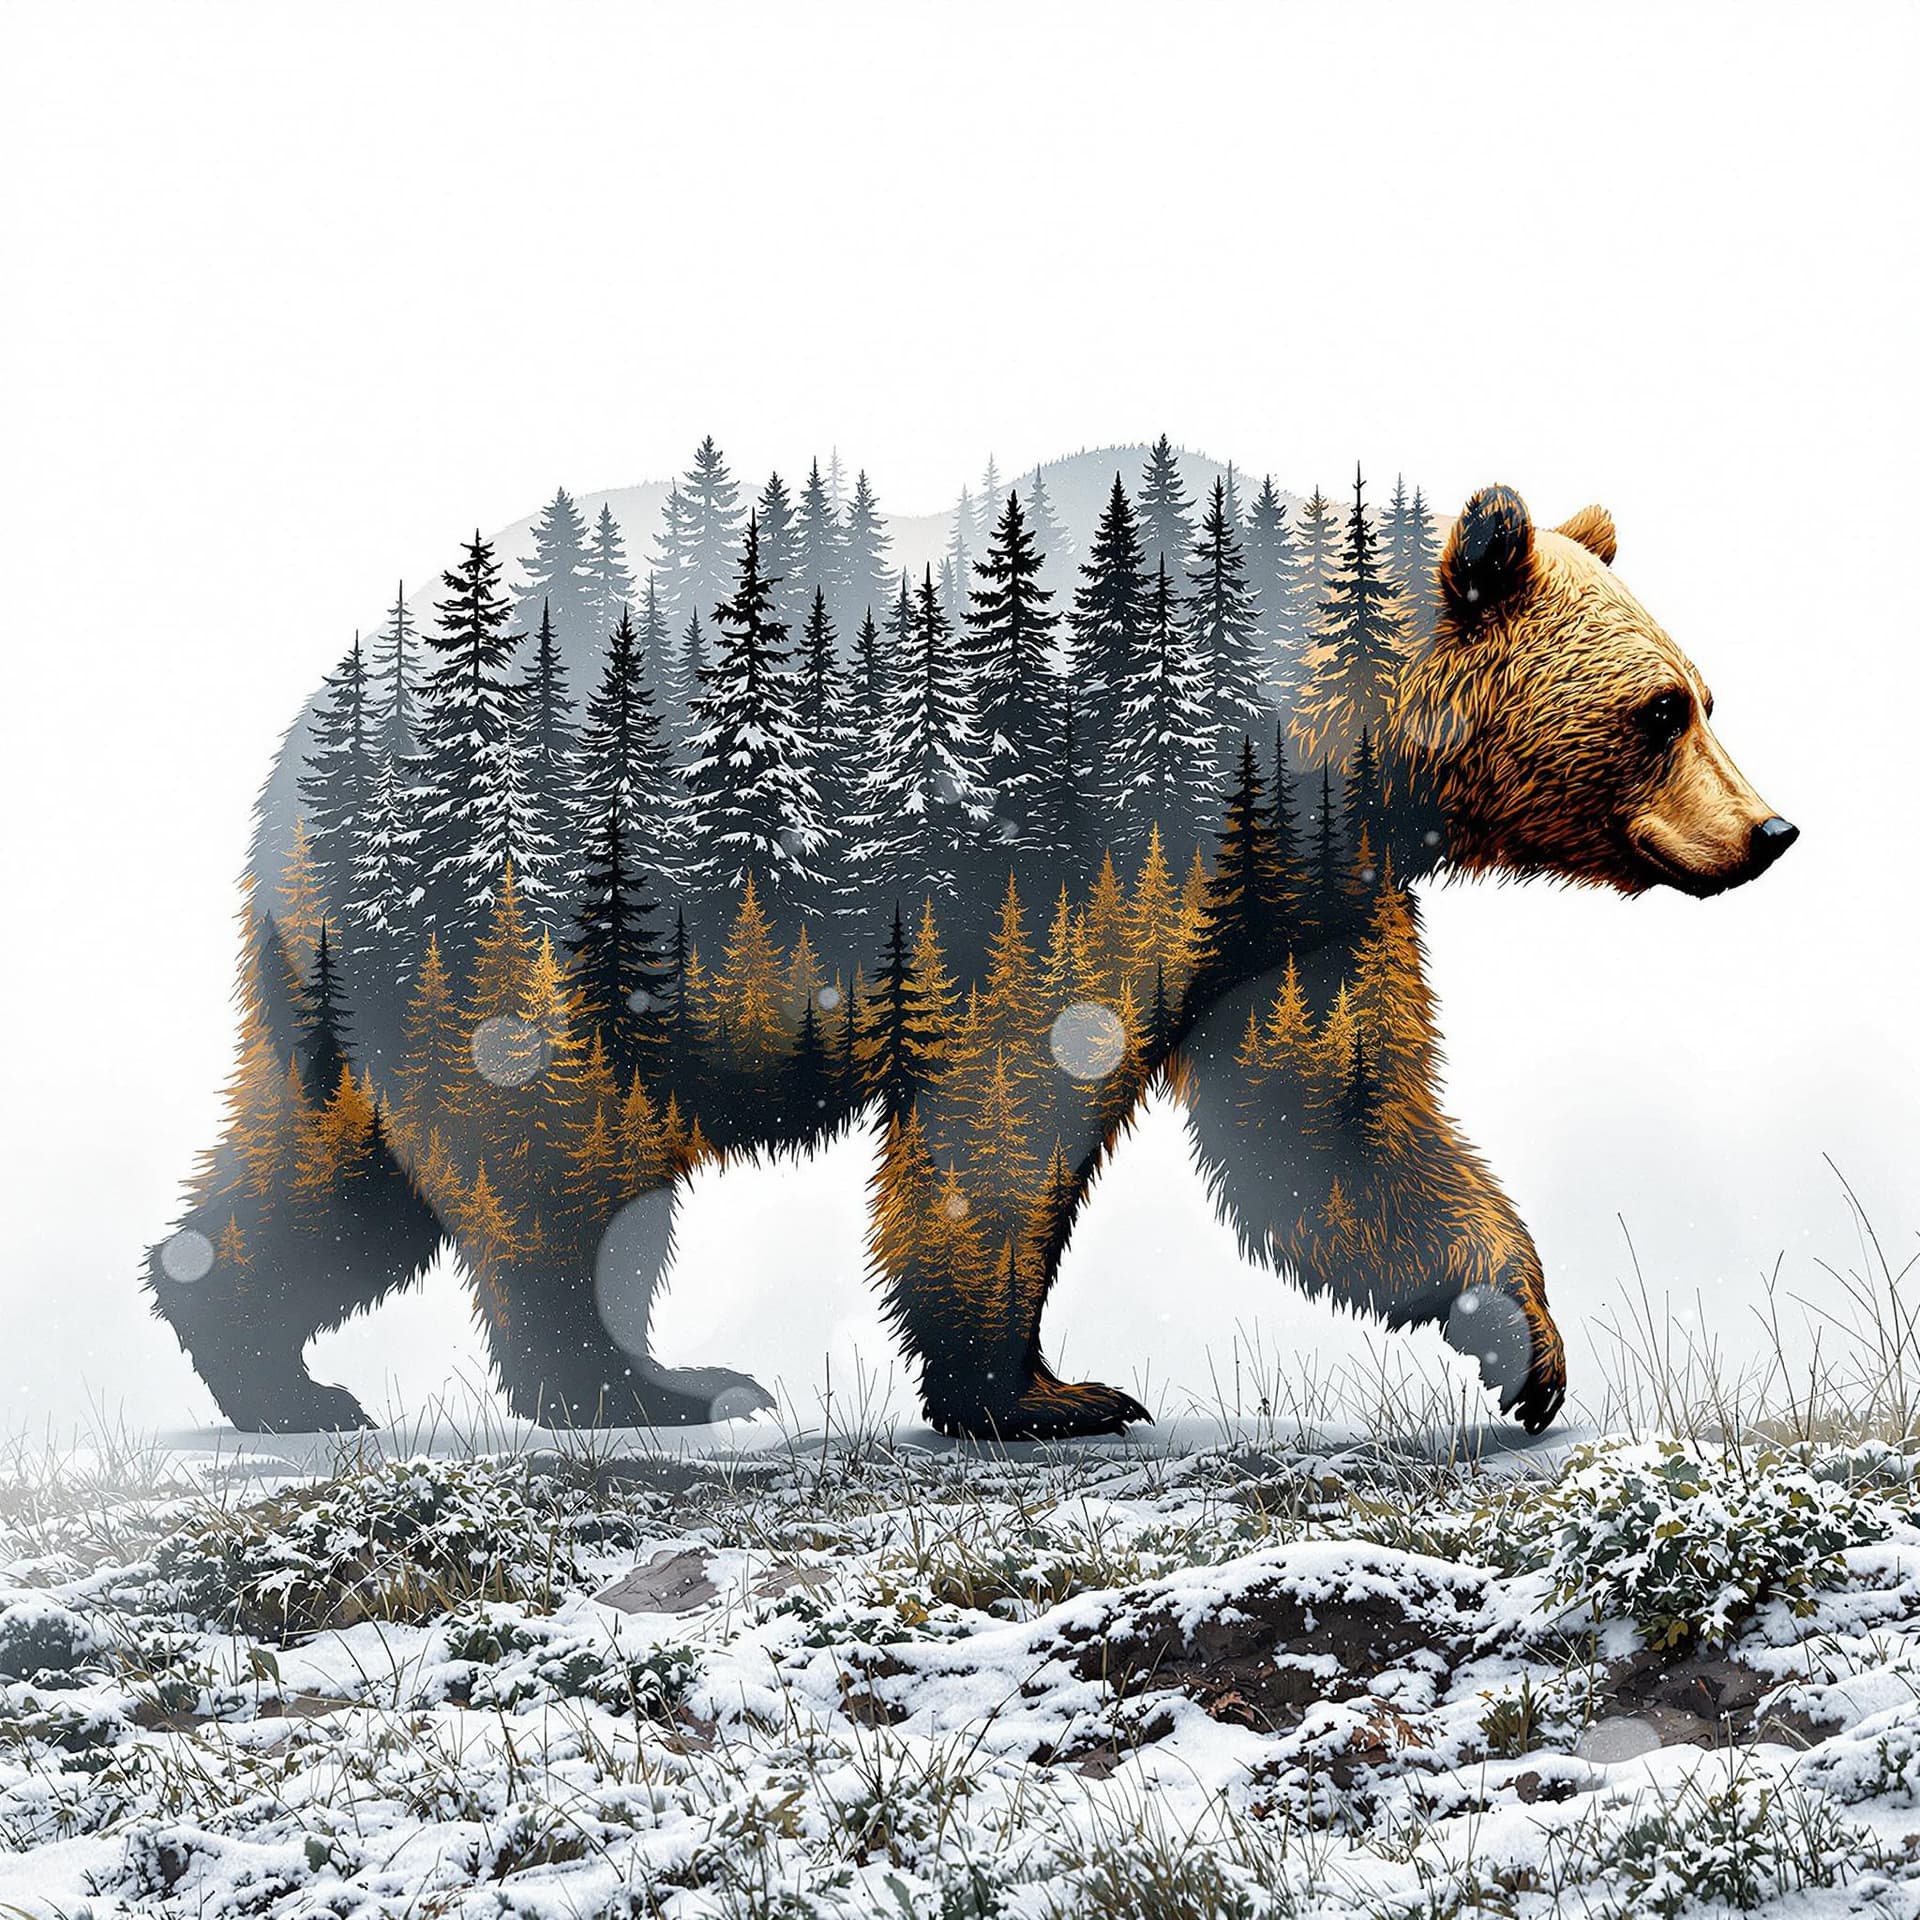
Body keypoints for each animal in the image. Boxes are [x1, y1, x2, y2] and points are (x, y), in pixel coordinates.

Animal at [143, 459, 1795, 1440]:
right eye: (1664, 710)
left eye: (1704, 693)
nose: (1771, 830)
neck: (1322, 739)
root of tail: (297, 758)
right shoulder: (1100, 831)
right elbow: (1013, 1093)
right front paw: (1044, 1388)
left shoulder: (1301, 898)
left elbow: (1332, 1119)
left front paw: (1521, 1340)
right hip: (529, 912)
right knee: (556, 1161)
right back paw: (643, 1384)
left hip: (366, 958)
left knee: (325, 1168)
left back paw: (264, 1361)